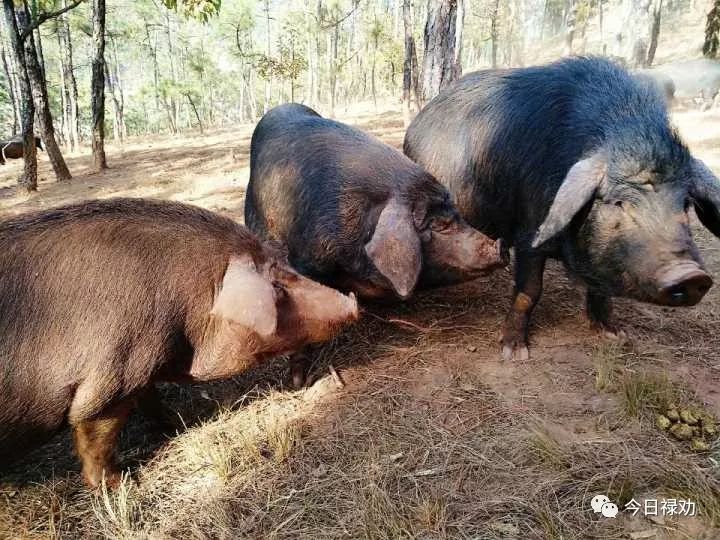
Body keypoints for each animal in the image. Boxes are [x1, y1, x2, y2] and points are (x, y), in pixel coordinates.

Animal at [0, 199, 358, 490]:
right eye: (277, 289)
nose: (353, 301)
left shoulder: (139, 364)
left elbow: (151, 400)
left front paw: (178, 422)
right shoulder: (108, 382)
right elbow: (96, 438)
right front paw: (123, 483)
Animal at [404, 57, 720, 360]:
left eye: (685, 203)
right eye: (619, 202)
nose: (691, 275)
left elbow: (601, 290)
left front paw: (615, 335)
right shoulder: (529, 231)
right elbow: (529, 291)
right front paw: (515, 353)